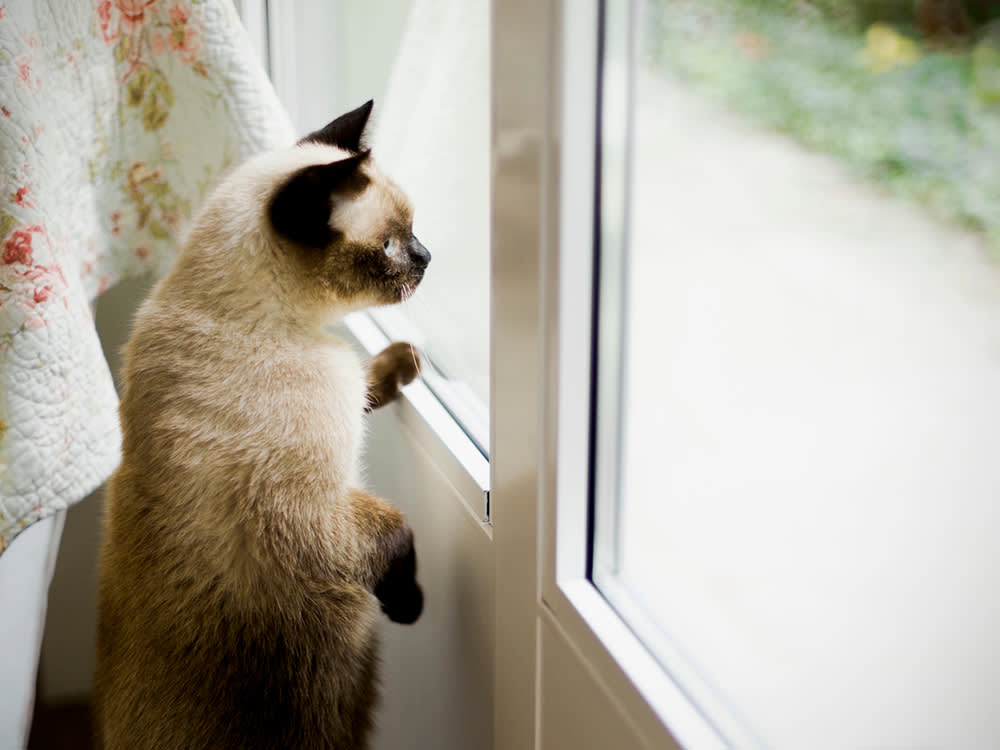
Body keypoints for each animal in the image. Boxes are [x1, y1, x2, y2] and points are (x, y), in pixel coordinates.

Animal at [95, 101, 432, 750]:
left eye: (414, 233)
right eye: (389, 245)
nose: (428, 257)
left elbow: (367, 382)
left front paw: (404, 362)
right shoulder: (319, 512)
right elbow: (399, 530)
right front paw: (409, 606)